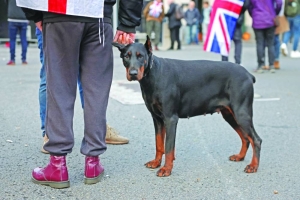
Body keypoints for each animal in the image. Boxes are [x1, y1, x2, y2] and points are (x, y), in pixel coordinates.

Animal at [112, 36, 262, 177]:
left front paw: (166, 169)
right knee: (245, 138)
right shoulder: (157, 119)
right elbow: (159, 143)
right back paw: (240, 157)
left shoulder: (170, 118)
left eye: (140, 56)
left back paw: (253, 166)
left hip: (241, 113)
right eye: (126, 56)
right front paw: (156, 162)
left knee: (256, 139)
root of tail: (248, 74)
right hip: (230, 115)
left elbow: (168, 147)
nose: (133, 74)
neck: (154, 74)